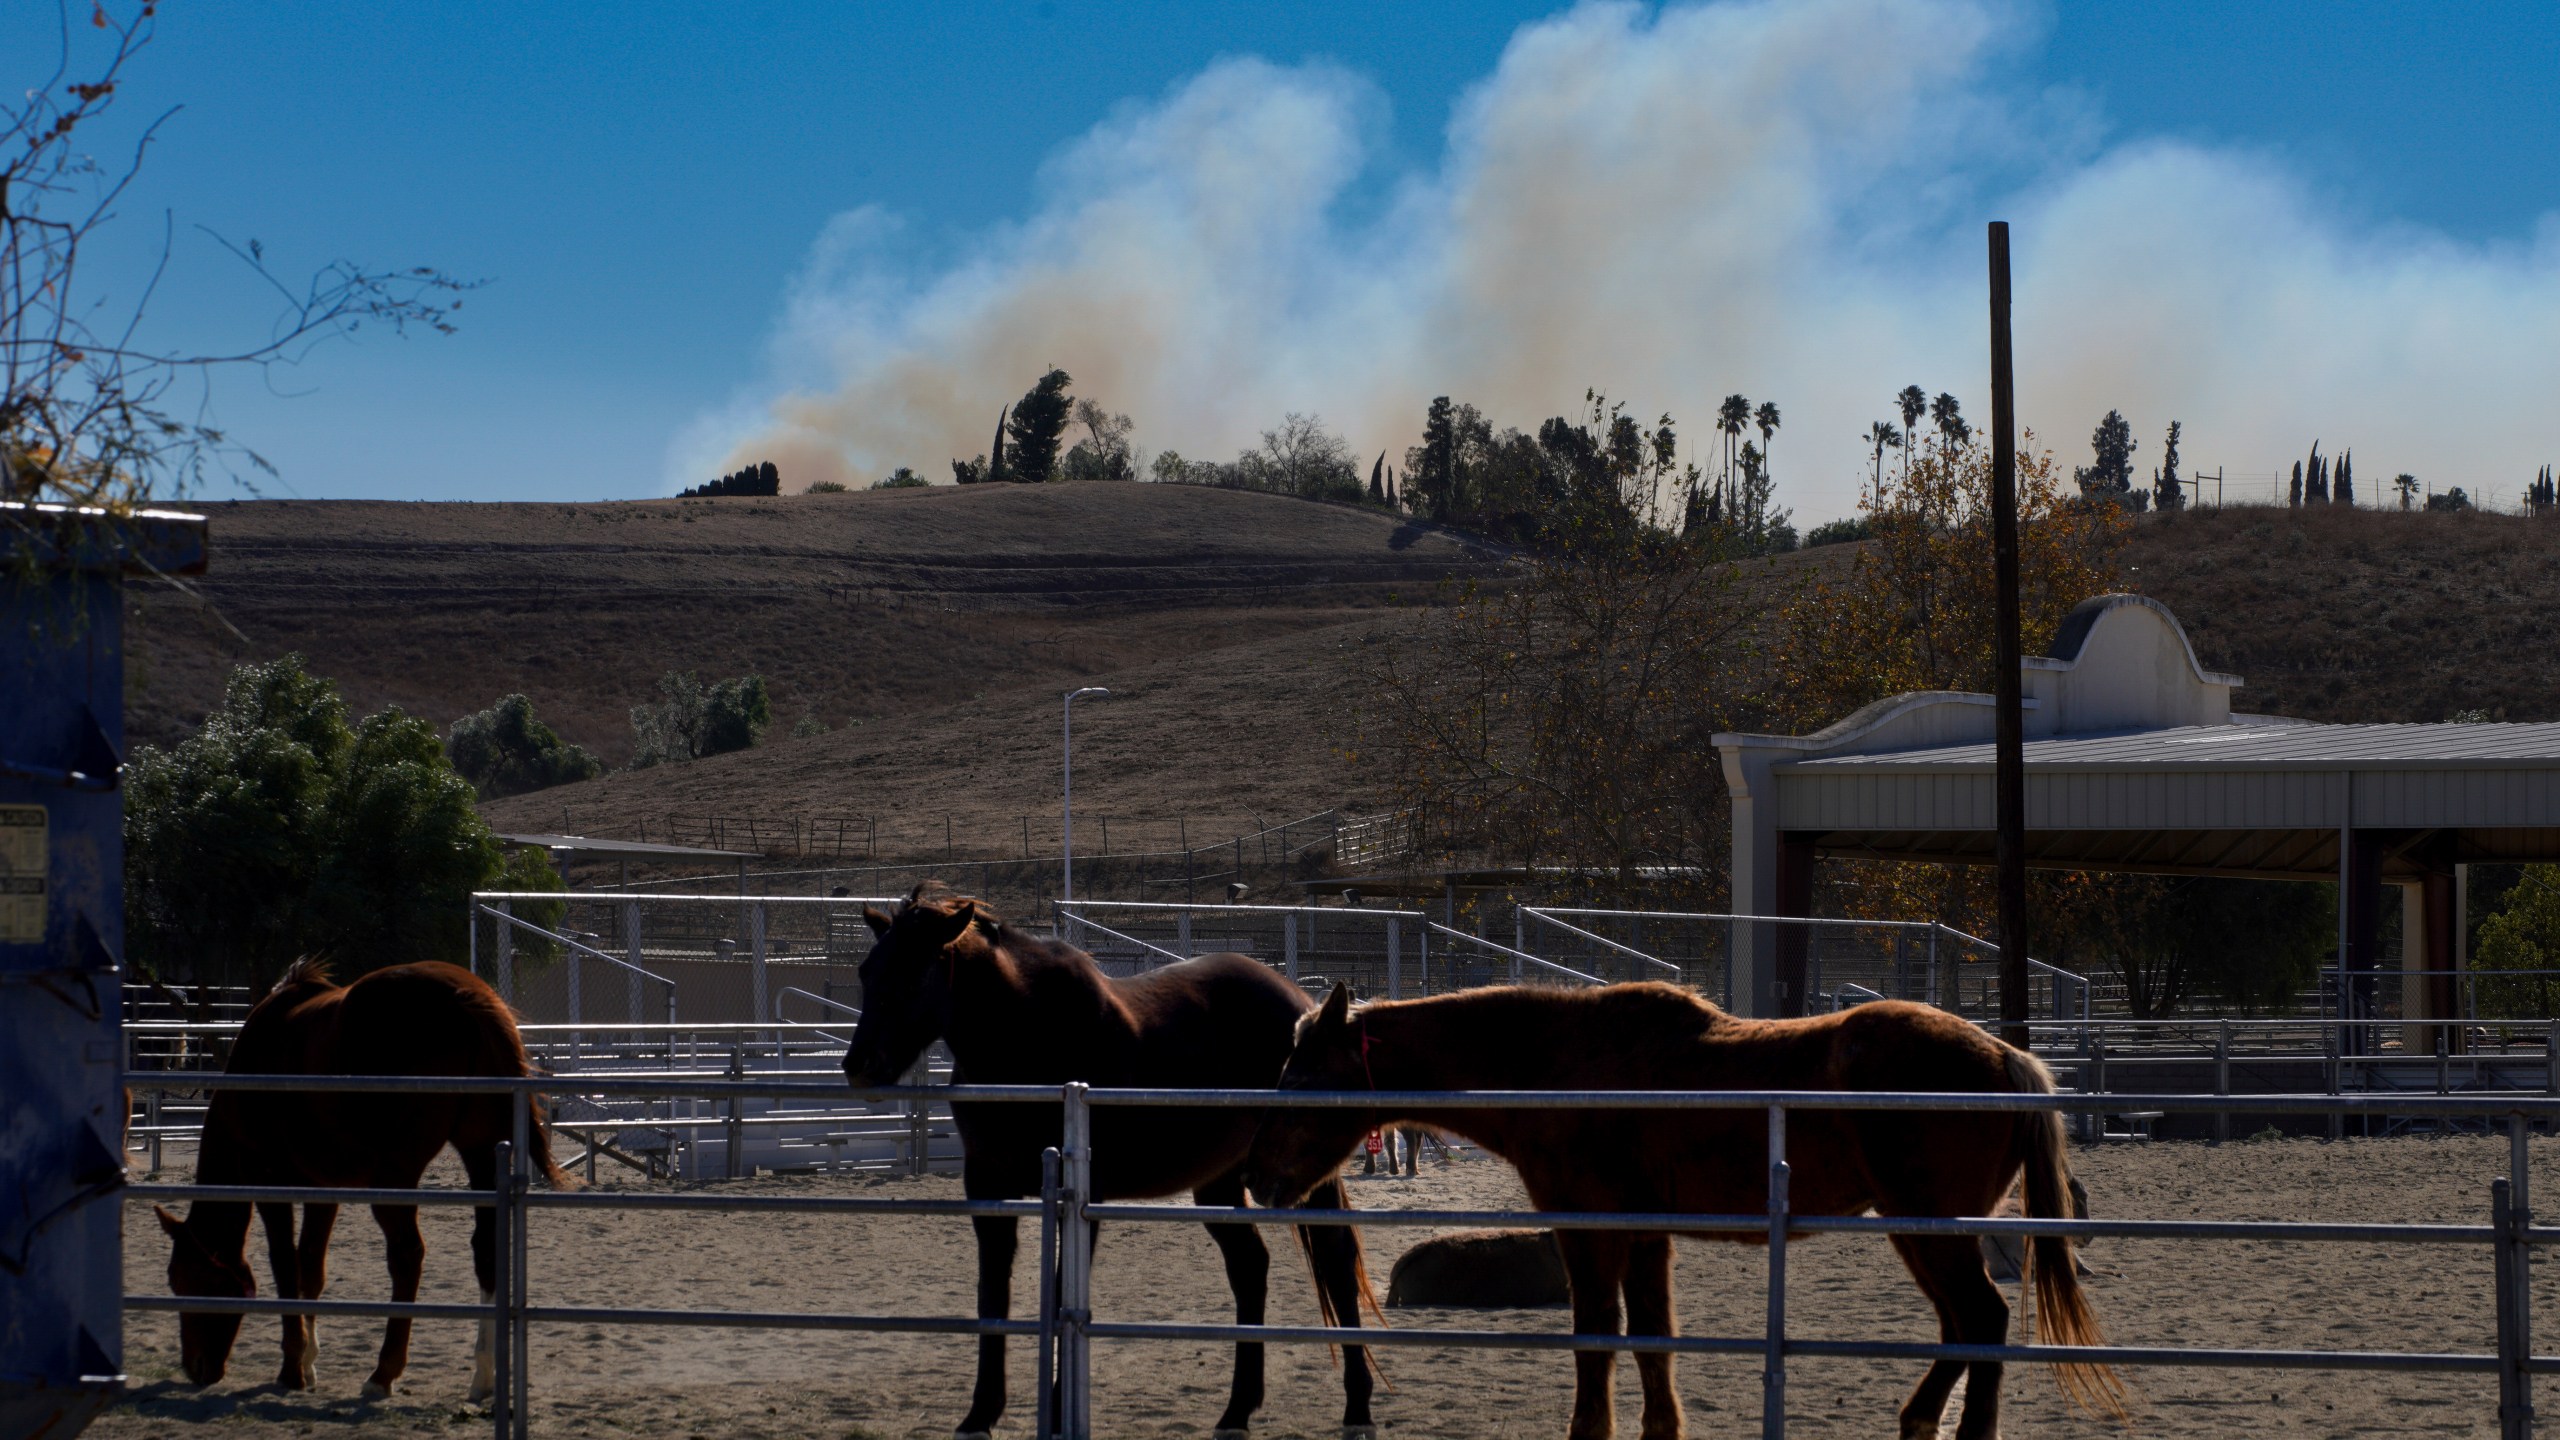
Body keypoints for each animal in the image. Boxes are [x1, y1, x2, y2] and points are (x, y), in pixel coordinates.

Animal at [157, 958, 568, 1393]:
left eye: (182, 1280)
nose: (195, 1368)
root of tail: (466, 997)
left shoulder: (271, 1185)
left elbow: (285, 1265)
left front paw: (292, 1369)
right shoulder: (323, 1189)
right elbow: (310, 1268)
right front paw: (308, 1362)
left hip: (396, 1175)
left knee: (407, 1255)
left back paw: (384, 1373)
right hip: (481, 1153)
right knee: (486, 1249)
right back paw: (484, 1374)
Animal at [844, 886, 1382, 1434]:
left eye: (914, 973)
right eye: (867, 971)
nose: (858, 1066)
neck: (1029, 1035)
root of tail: (1304, 1004)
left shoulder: (1083, 1193)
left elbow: (1063, 1292)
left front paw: (1057, 1412)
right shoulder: (988, 1188)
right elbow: (991, 1294)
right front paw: (980, 1414)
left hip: (1307, 1171)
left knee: (1336, 1262)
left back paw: (1357, 1406)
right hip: (1221, 1179)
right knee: (1250, 1266)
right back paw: (1237, 1410)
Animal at [1244, 978, 2119, 1434]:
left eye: (1301, 1076)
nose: (1257, 1177)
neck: (1561, 1064)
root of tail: (2003, 1057)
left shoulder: (1591, 1232)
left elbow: (1597, 1342)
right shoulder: (1644, 1237)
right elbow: (1652, 1343)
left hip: (1932, 1233)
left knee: (1982, 1321)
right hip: (1925, 1234)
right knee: (1964, 1326)